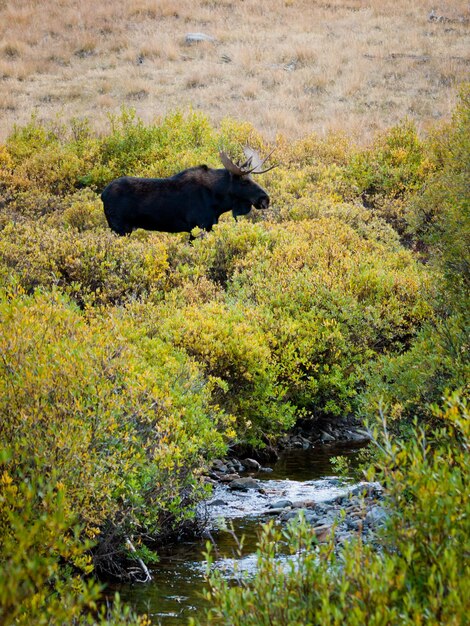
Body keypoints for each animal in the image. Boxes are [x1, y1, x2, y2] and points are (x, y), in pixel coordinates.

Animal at [100, 149, 274, 239]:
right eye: (244, 181)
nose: (265, 199)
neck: (217, 202)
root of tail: (102, 194)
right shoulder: (198, 226)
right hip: (119, 228)